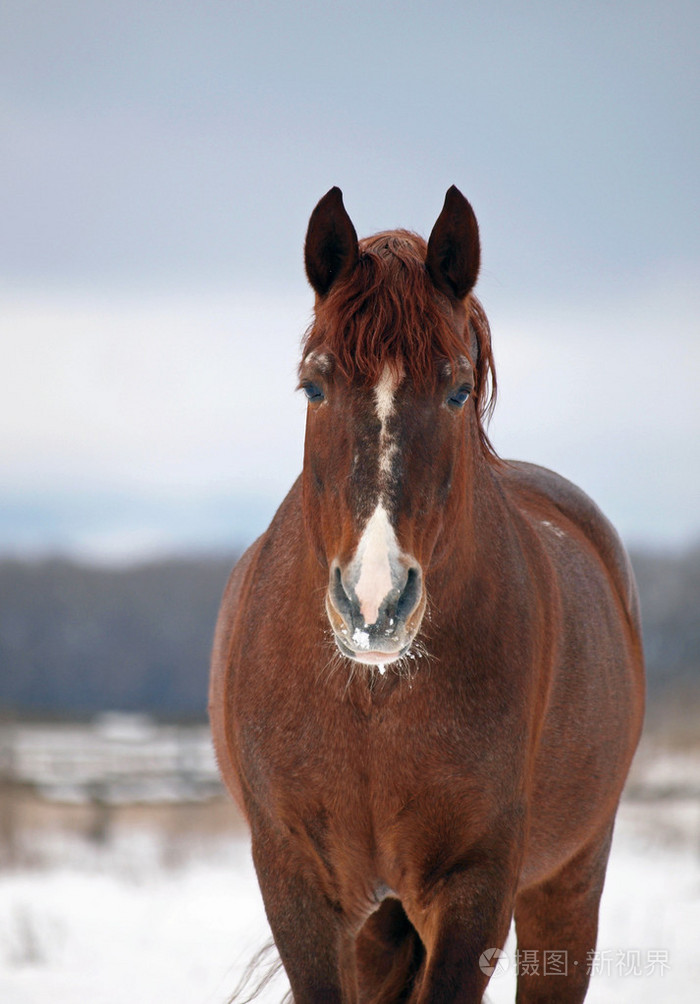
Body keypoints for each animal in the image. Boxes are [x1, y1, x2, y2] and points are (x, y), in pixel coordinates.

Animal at [209, 186, 645, 1003]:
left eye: (458, 389)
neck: (373, 706)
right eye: (313, 384)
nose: (374, 606)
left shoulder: (476, 886)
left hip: (567, 885)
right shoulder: (297, 883)